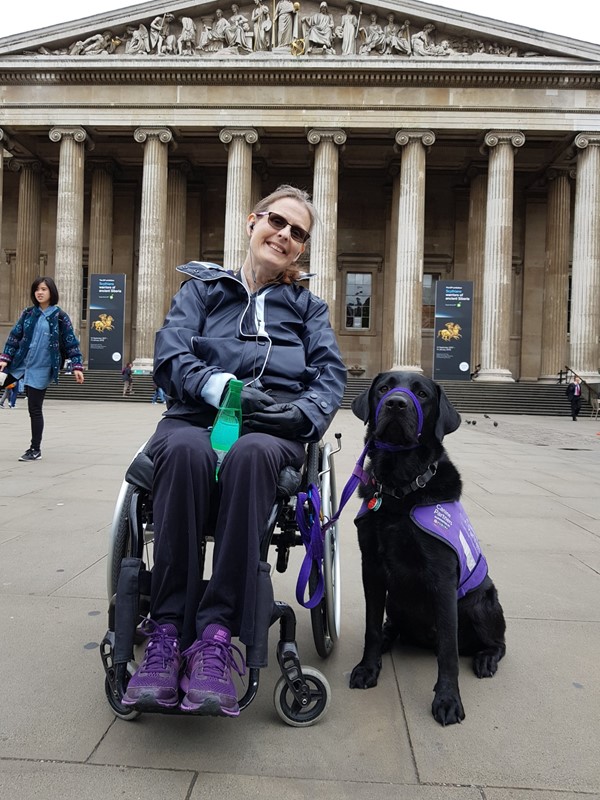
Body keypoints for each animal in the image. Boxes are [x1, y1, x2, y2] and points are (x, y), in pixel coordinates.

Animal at [350, 372, 504, 728]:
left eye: (422, 394)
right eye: (383, 388)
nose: (396, 403)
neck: (398, 489)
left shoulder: (442, 579)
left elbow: (448, 650)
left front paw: (447, 700)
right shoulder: (371, 569)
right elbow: (370, 628)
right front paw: (368, 667)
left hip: (481, 603)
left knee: (497, 643)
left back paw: (486, 658)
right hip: (395, 601)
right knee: (390, 626)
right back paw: (390, 635)